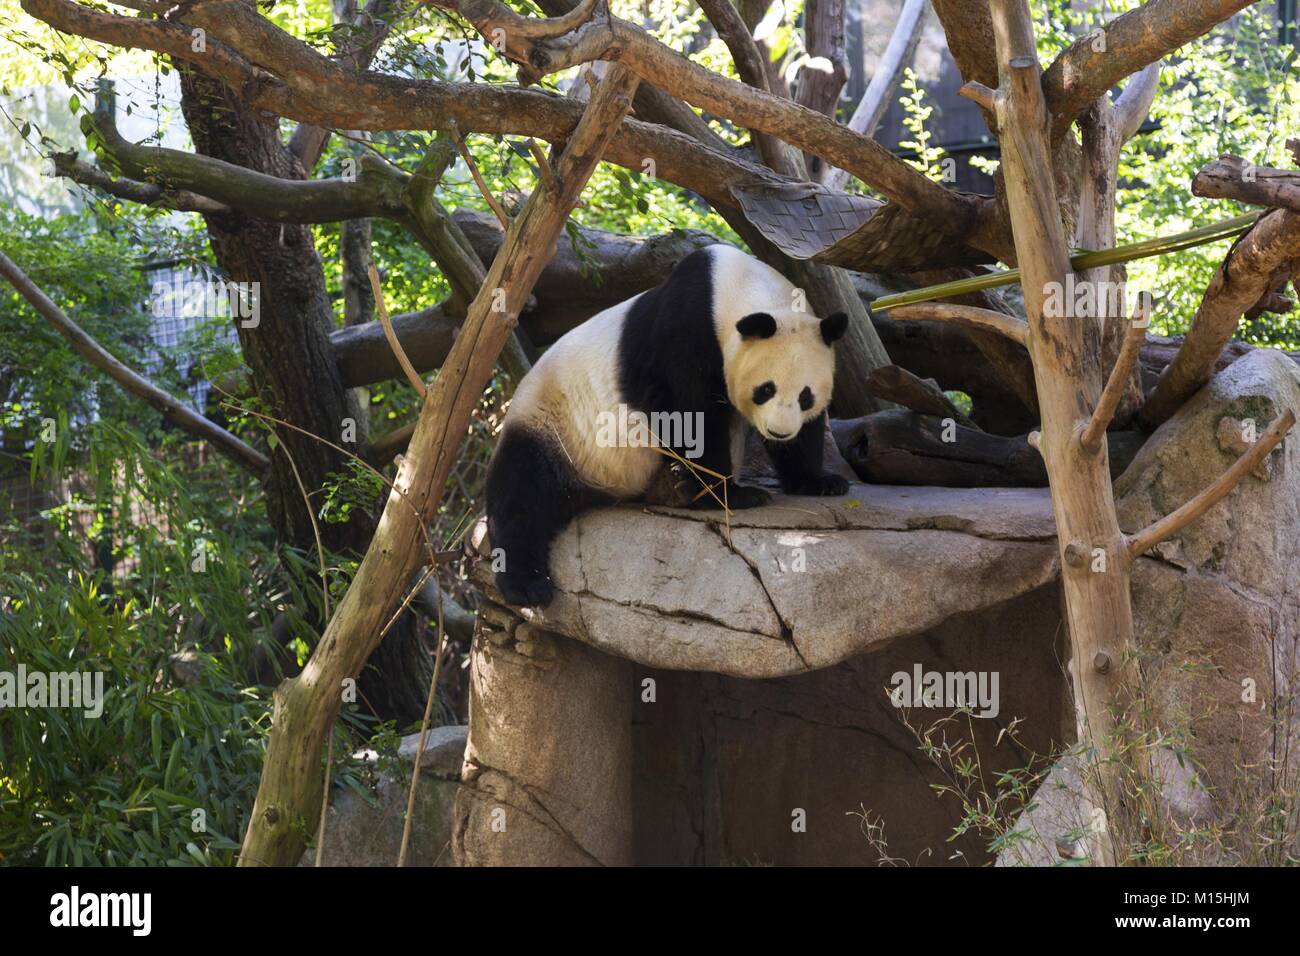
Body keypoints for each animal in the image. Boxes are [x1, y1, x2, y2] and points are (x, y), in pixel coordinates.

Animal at [483, 244, 847, 606]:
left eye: (805, 396)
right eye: (765, 389)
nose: (779, 432)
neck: (737, 287)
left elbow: (806, 434)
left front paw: (820, 481)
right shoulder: (685, 333)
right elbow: (690, 417)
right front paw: (732, 494)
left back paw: (672, 490)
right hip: (553, 422)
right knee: (522, 491)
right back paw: (526, 585)